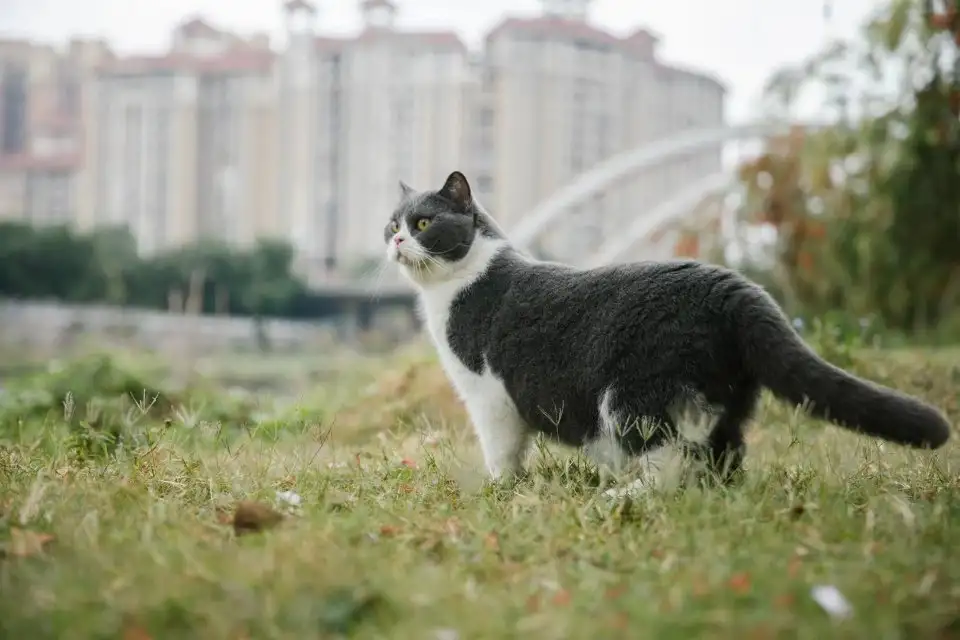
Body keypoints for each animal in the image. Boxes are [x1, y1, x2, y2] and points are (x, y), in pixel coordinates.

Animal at [382, 170, 952, 490]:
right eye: (392, 224)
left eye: (425, 223)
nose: (396, 242)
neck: (455, 285)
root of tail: (736, 289)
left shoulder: (489, 395)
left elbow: (501, 450)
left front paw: (499, 489)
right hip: (723, 401)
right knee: (720, 463)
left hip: (636, 397)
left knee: (667, 467)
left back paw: (622, 498)